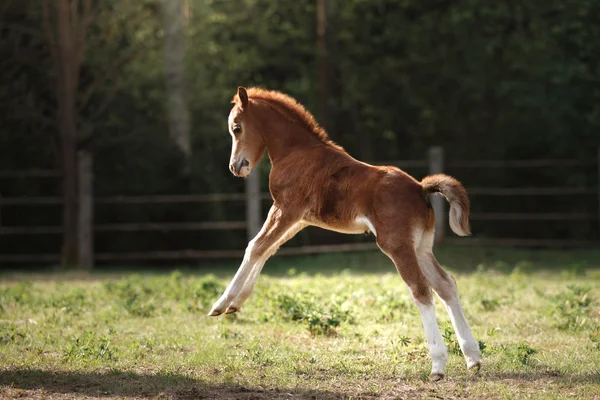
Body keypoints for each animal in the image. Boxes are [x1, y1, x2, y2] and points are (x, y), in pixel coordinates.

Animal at [209, 86, 480, 380]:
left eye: (237, 128)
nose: (236, 167)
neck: (297, 152)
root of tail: (420, 187)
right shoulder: (300, 219)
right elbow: (268, 249)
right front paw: (237, 303)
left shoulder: (286, 208)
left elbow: (255, 246)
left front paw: (221, 304)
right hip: (420, 245)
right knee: (445, 284)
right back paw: (472, 357)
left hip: (397, 245)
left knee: (421, 289)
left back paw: (438, 364)